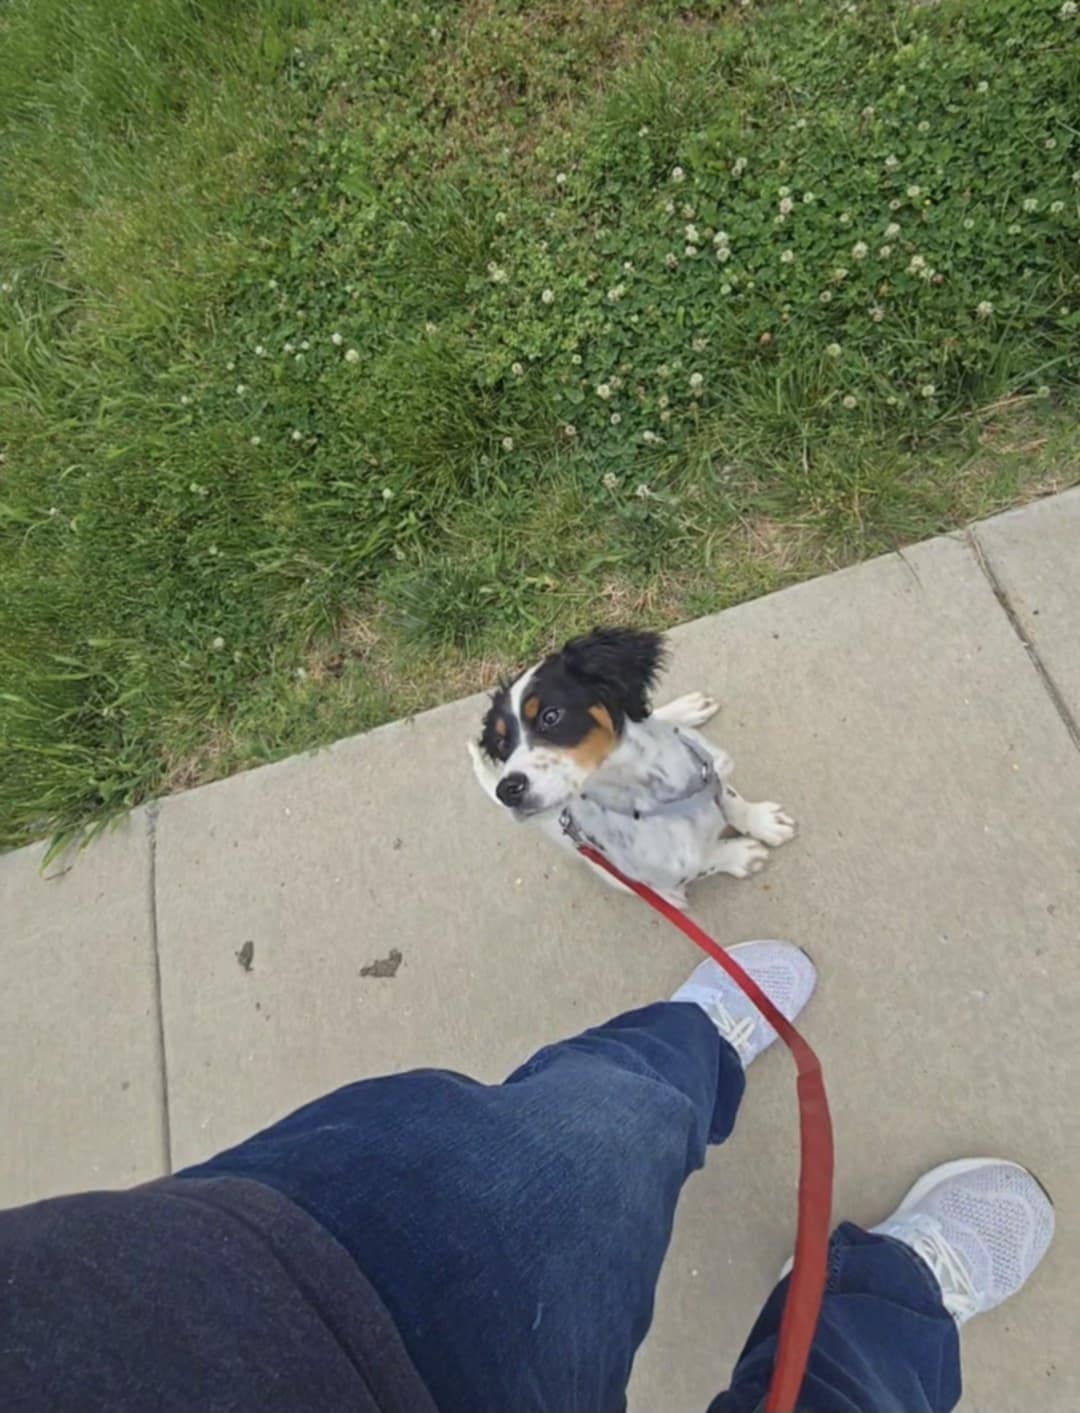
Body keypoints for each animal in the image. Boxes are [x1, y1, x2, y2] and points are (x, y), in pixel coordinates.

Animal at [467, 627, 795, 908]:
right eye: (502, 744)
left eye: (550, 716)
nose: (507, 790)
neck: (659, 795)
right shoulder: (663, 886)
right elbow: (707, 861)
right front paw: (740, 855)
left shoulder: (709, 767)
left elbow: (730, 797)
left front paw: (762, 821)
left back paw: (685, 709)